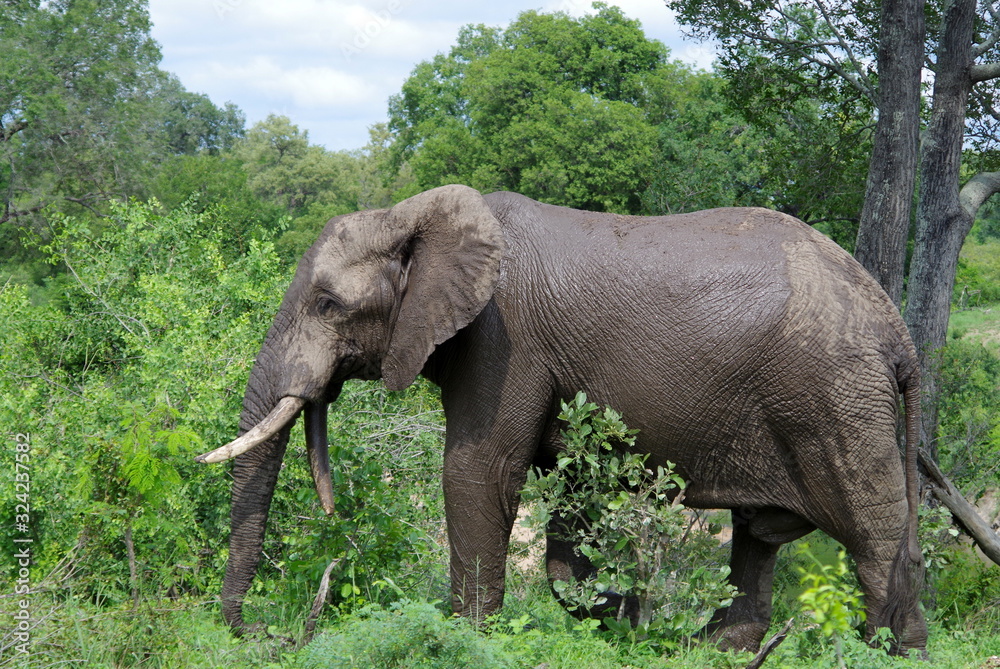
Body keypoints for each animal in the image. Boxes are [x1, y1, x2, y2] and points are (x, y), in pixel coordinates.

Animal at [197, 183, 928, 652]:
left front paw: (466, 636)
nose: (262, 632)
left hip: (835, 397)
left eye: (327, 304)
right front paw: (624, 619)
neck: (410, 216)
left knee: (873, 530)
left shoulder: (504, 340)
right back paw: (713, 646)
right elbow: (571, 511)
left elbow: (478, 469)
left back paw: (890, 650)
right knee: (761, 538)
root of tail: (898, 332)